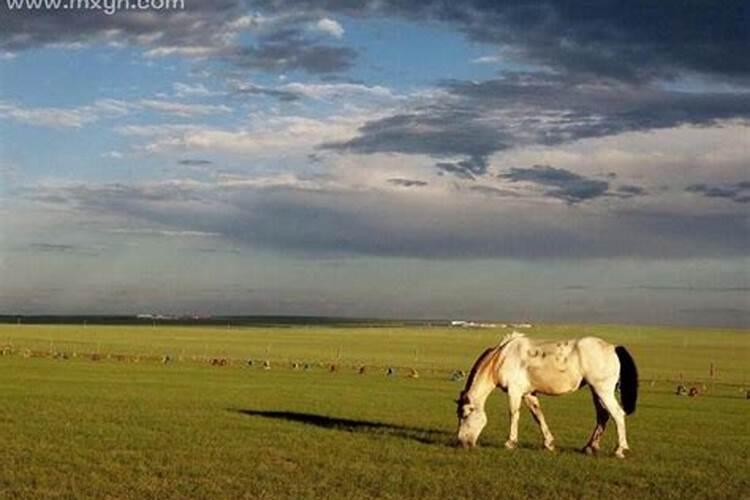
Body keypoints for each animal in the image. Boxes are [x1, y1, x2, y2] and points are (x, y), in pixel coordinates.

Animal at [456, 332, 638, 458]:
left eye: (464, 415)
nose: (460, 443)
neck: (501, 358)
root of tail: (613, 347)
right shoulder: (529, 394)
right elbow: (538, 416)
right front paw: (549, 444)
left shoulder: (515, 391)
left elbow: (513, 414)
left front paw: (510, 443)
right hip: (596, 391)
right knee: (603, 416)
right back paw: (590, 447)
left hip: (603, 391)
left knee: (617, 415)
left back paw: (619, 450)